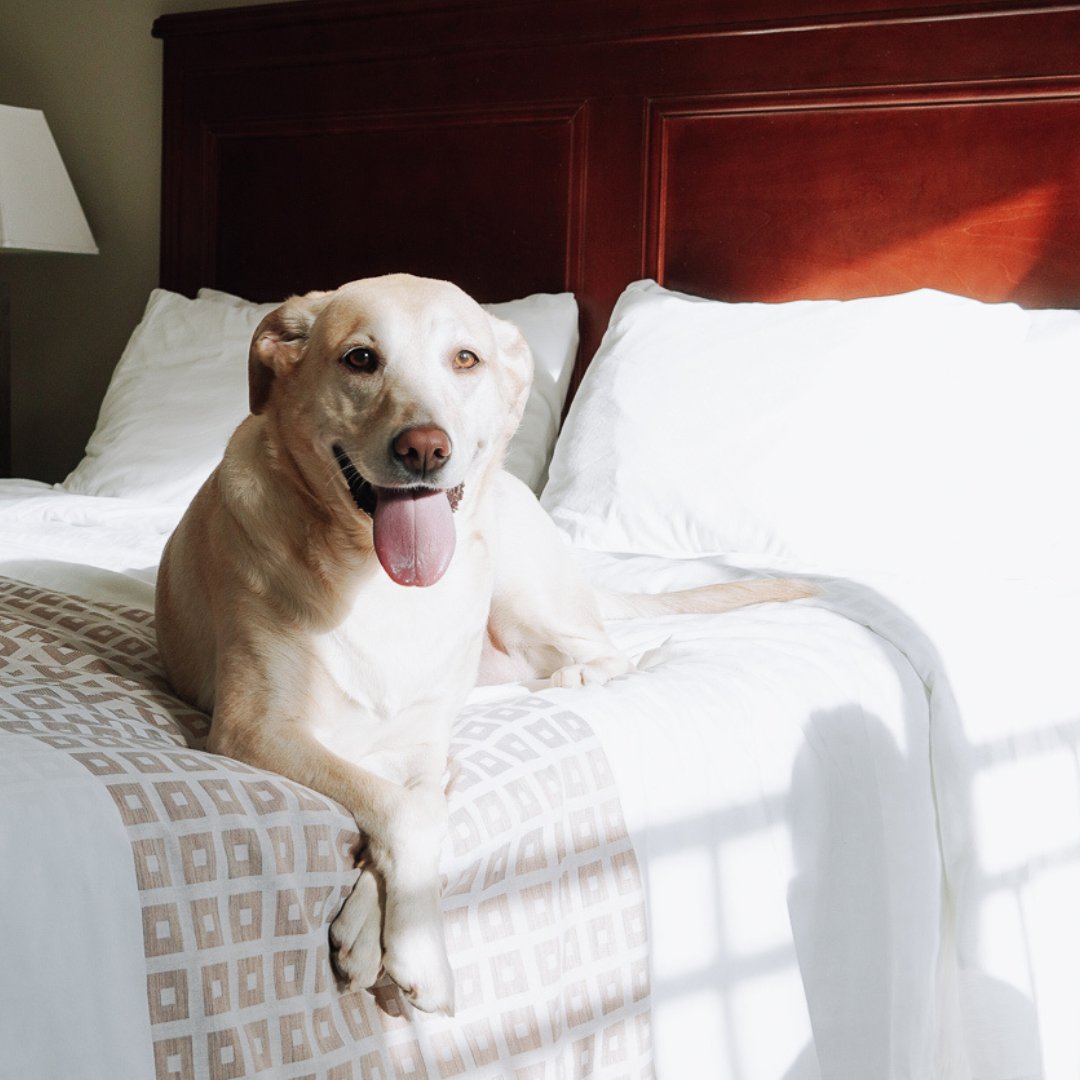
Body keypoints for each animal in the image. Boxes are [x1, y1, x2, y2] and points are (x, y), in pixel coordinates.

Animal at [156, 270, 812, 1010]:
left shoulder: (419, 744)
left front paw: (396, 941)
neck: (376, 579)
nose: (424, 448)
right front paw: (405, 947)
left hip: (520, 581)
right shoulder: (255, 728)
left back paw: (576, 674)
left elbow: (421, 805)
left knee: (599, 647)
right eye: (360, 358)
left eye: (465, 359)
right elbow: (406, 809)